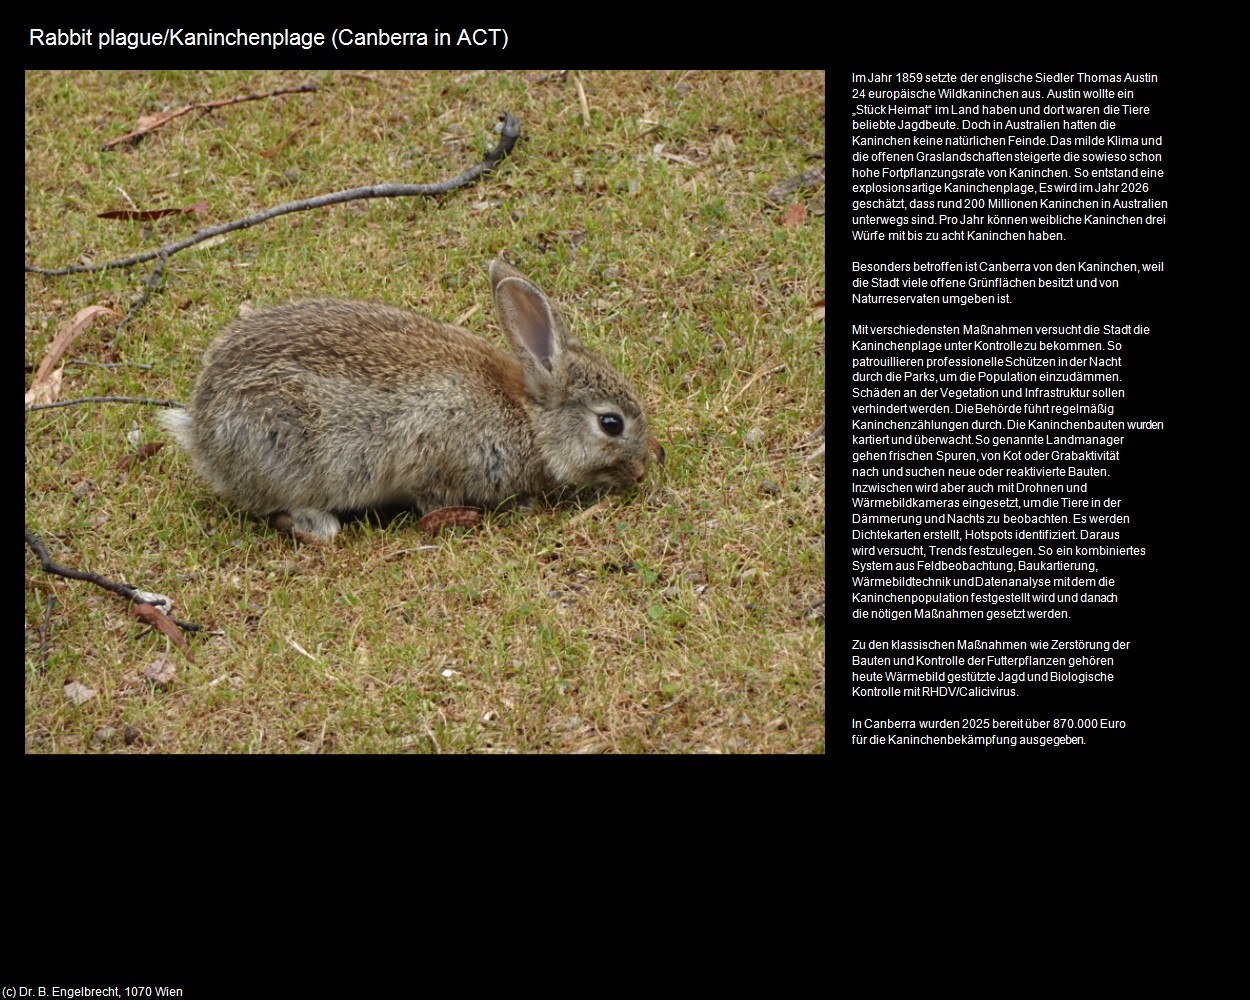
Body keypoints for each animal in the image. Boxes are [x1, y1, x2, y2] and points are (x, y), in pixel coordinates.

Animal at [161, 259, 663, 543]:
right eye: (611, 424)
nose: (643, 470)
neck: (529, 419)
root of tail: (200, 431)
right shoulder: (437, 450)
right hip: (282, 446)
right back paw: (321, 526)